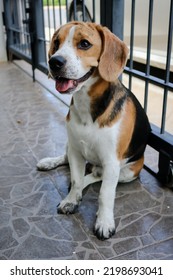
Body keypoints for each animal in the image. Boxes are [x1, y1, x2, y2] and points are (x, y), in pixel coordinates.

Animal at [37, 21, 151, 241]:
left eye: (84, 43)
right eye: (56, 43)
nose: (54, 62)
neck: (86, 106)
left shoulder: (111, 161)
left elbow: (105, 194)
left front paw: (104, 222)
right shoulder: (75, 151)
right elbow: (75, 179)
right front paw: (71, 200)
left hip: (129, 171)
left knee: (97, 175)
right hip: (71, 146)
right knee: (70, 164)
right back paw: (50, 163)